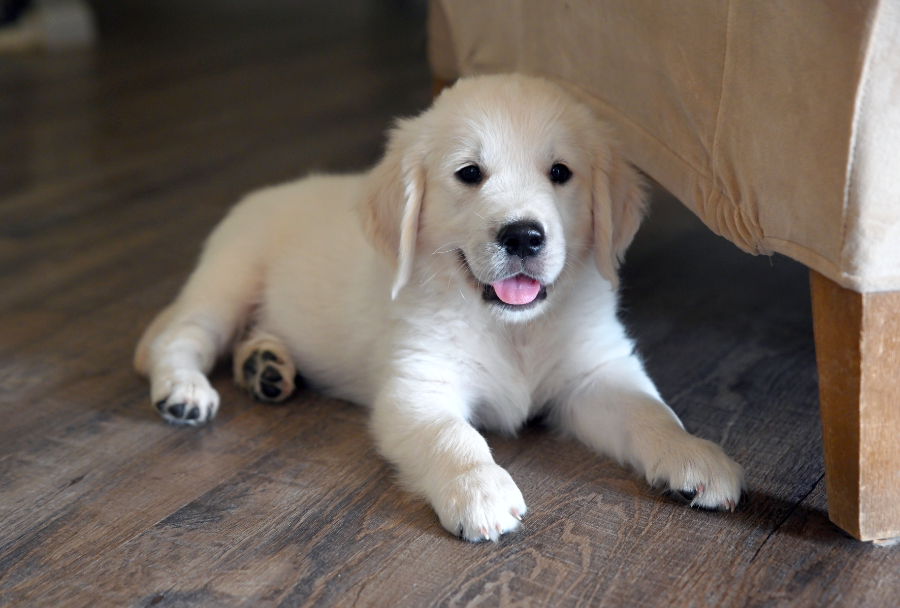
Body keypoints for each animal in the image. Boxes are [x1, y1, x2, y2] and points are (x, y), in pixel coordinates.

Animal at [132, 72, 740, 540]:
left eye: (560, 173)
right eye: (469, 173)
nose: (523, 236)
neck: (511, 327)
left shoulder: (596, 373)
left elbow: (649, 410)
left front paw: (693, 454)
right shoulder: (417, 386)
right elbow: (455, 438)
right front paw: (480, 490)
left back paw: (266, 365)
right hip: (231, 275)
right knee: (181, 335)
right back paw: (186, 390)